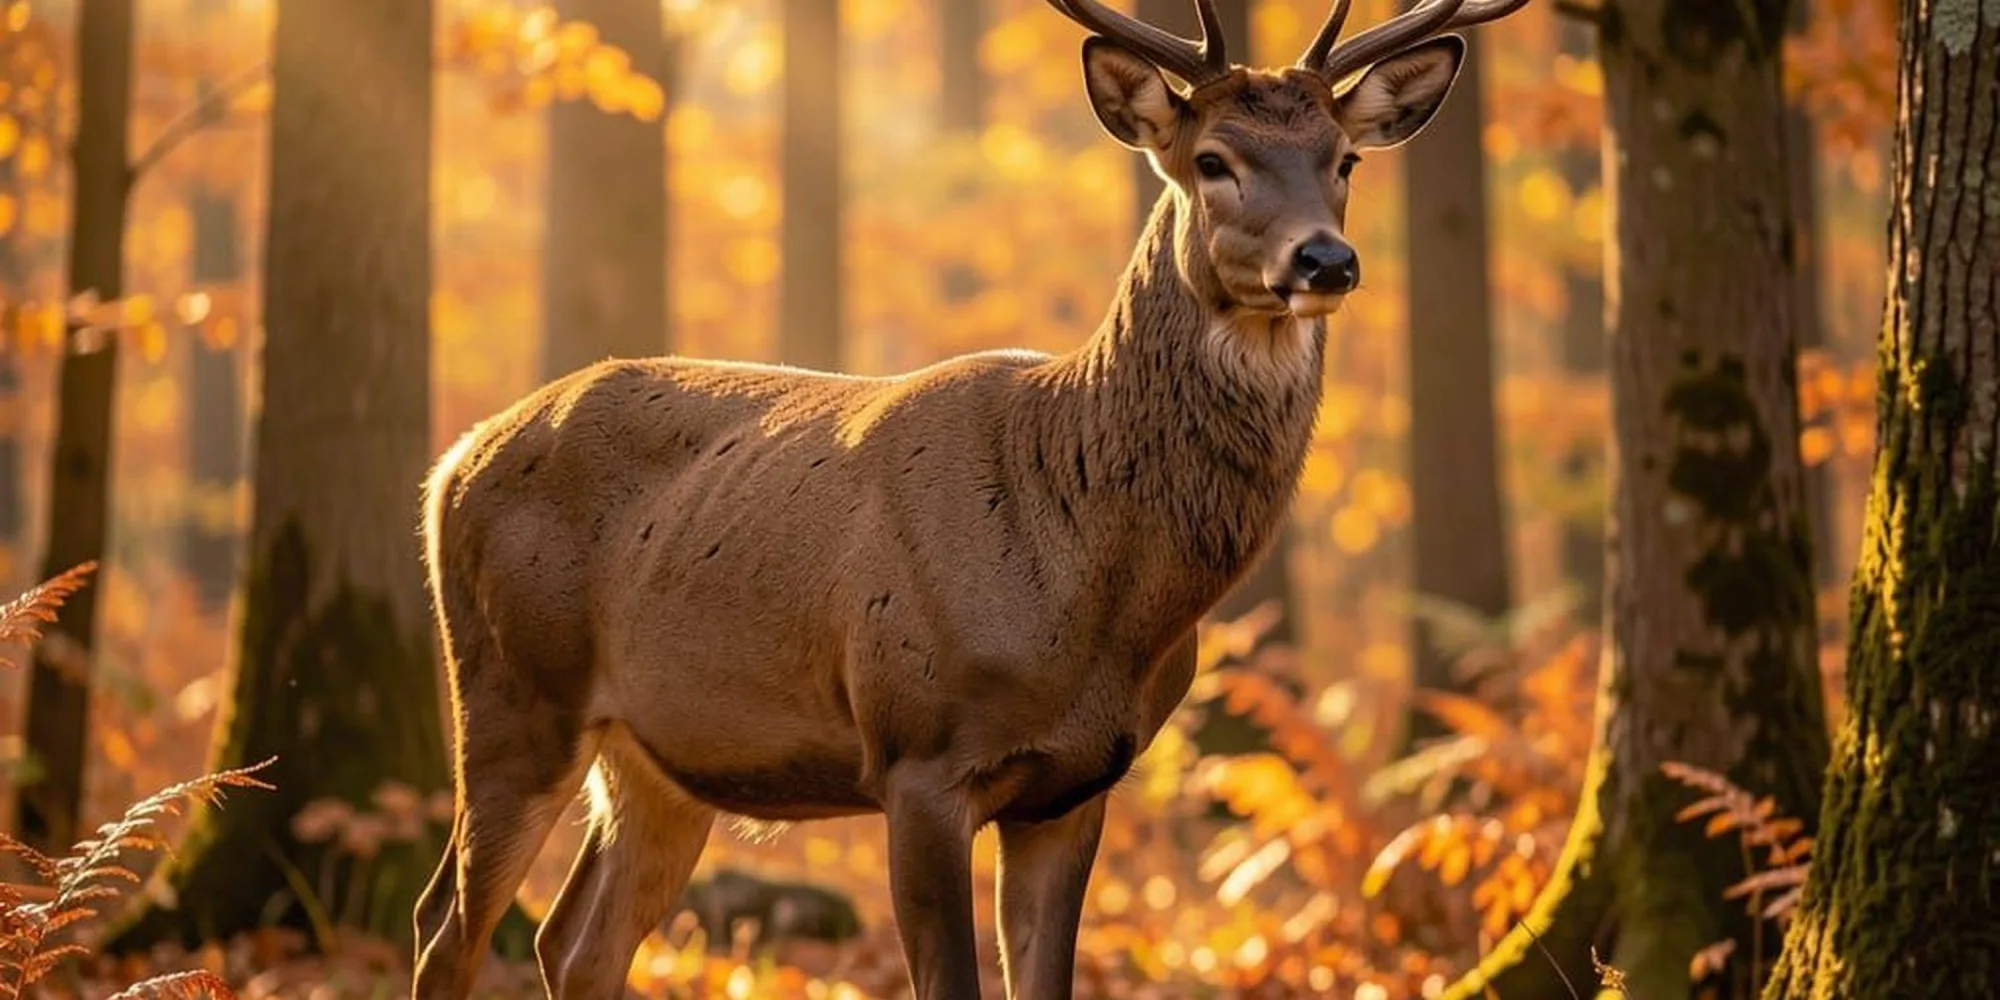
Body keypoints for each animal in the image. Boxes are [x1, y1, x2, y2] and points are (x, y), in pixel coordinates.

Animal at [410, 1, 1531, 997]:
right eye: (1213, 160)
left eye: (1344, 161)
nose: (1325, 260)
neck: (1091, 591)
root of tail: (448, 467)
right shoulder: (916, 754)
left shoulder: (1077, 784)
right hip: (513, 691)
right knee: (445, 927)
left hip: (660, 757)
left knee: (573, 942)